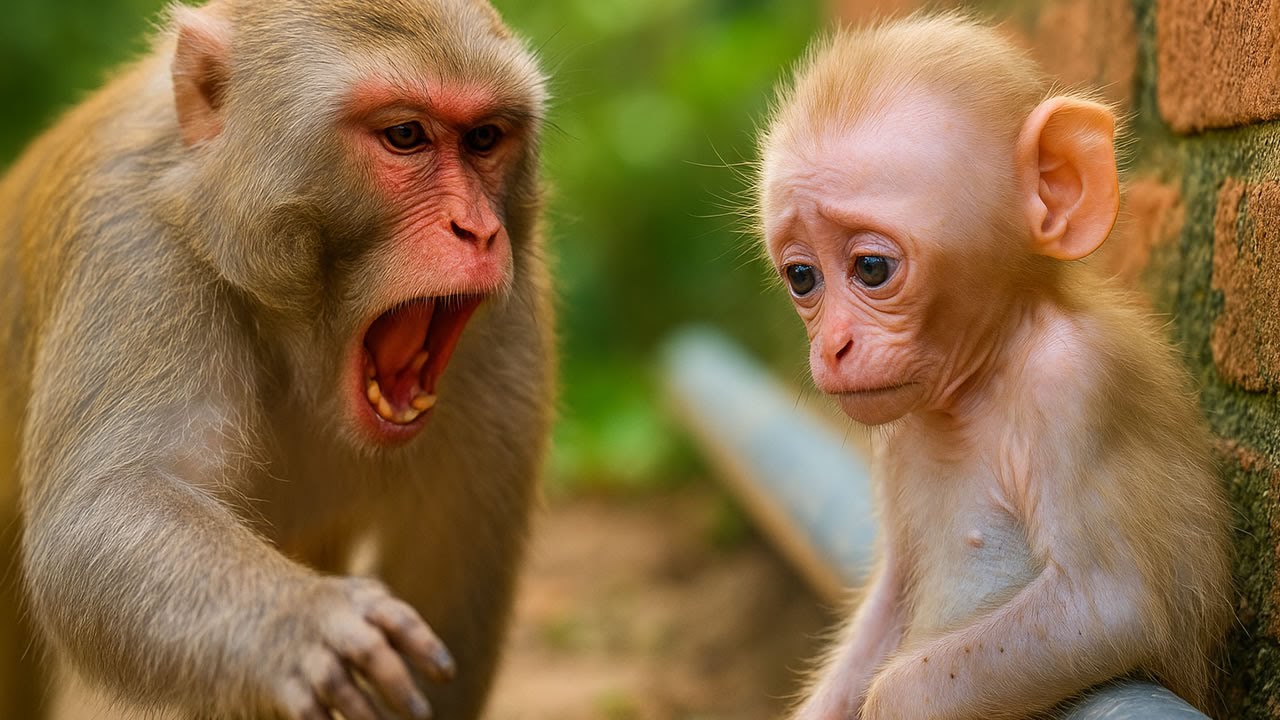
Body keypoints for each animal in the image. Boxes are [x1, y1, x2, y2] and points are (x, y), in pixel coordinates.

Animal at [0, 0, 555, 718]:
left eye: (485, 138)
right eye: (406, 135)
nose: (480, 231)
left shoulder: (508, 325)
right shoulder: (132, 249)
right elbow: (99, 515)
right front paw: (305, 622)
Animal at [756, 15, 1232, 720]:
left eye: (871, 267)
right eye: (802, 278)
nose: (833, 345)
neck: (983, 377)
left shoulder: (1076, 384)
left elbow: (1108, 605)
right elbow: (889, 599)